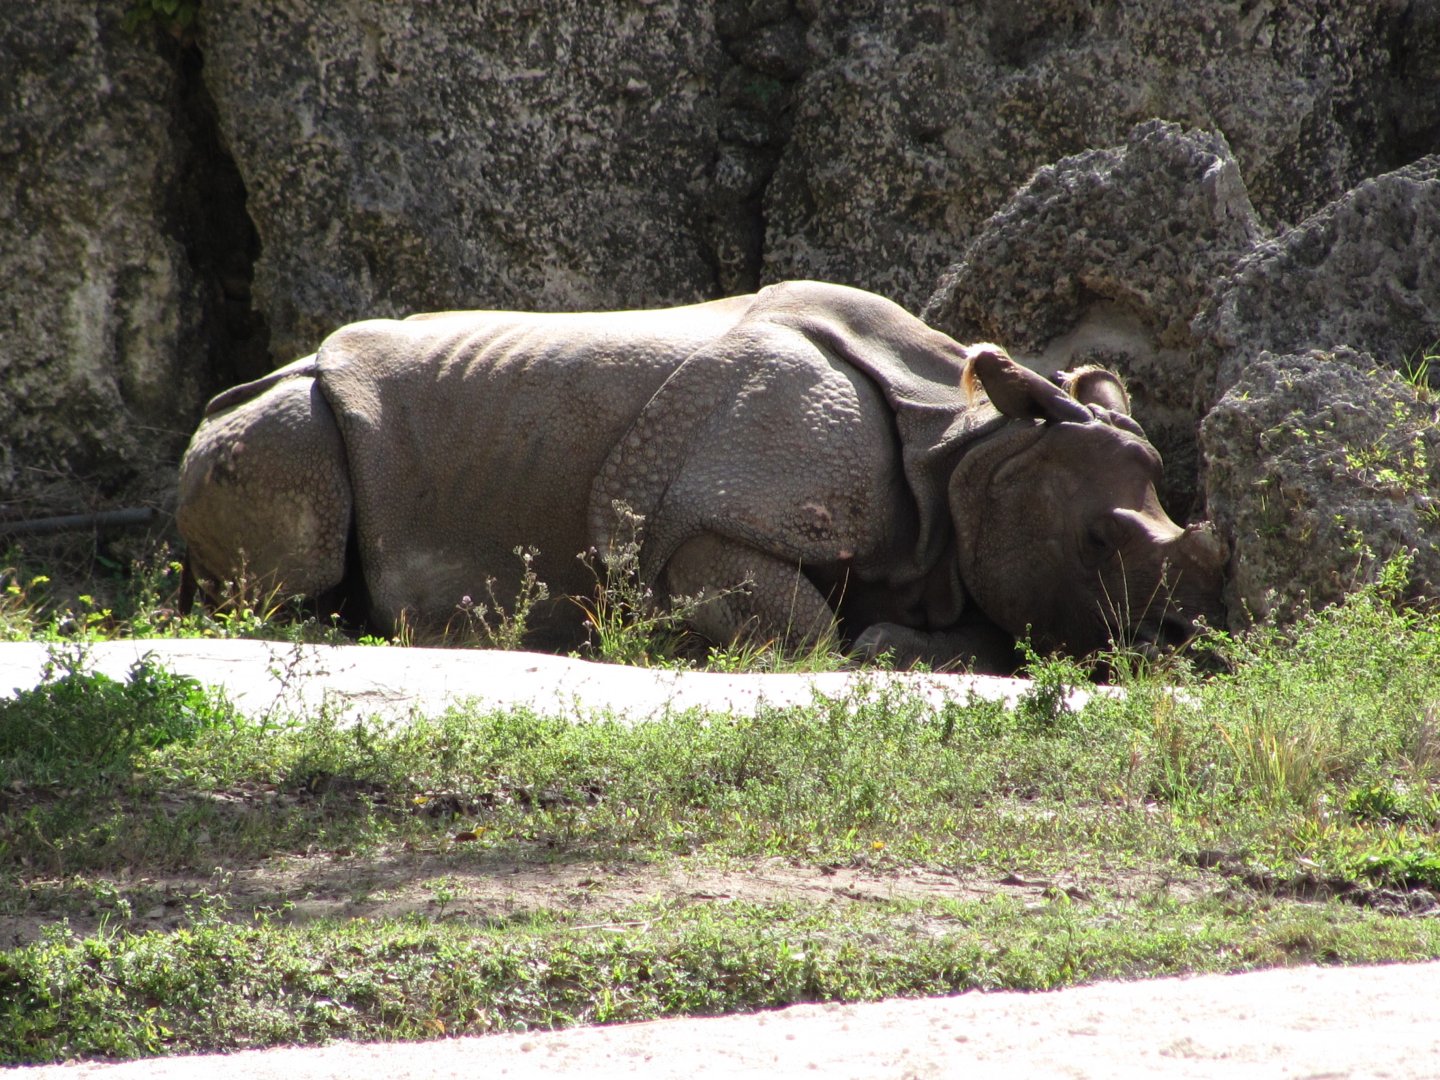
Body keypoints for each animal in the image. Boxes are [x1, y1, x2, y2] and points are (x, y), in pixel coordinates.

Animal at [176, 280, 1226, 671]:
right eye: (1099, 541)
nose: (1183, 645)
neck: (966, 448)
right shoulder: (705, 517)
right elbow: (801, 633)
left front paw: (902, 640)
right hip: (277, 420)